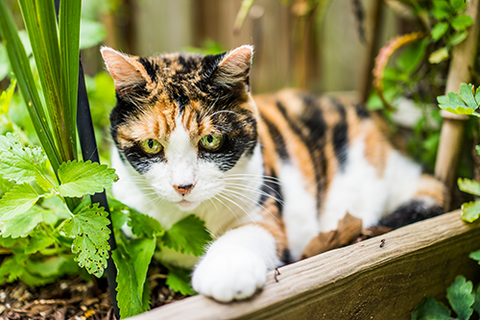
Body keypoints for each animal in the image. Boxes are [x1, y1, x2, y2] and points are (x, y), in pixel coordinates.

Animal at [101, 45, 446, 302]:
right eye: (151, 144)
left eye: (210, 140)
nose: (183, 186)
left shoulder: (266, 204)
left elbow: (251, 233)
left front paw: (226, 271)